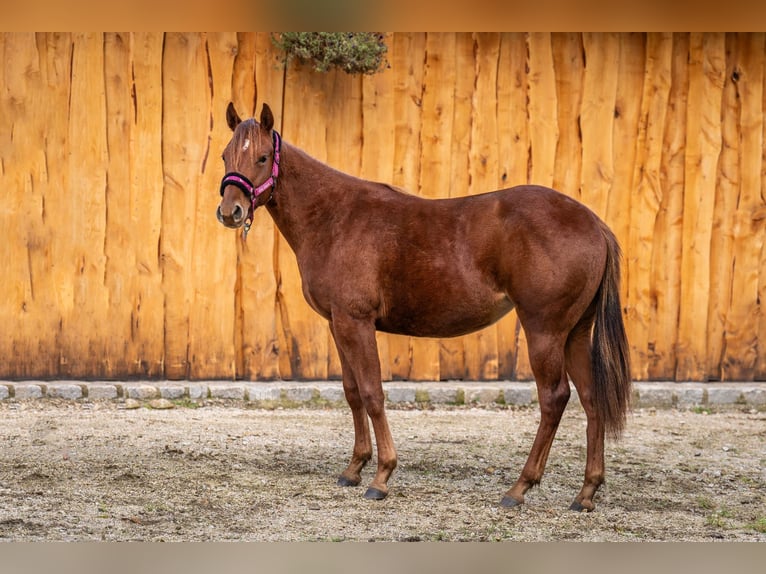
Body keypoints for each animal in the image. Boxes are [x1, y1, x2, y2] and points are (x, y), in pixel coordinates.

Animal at [216, 102, 631, 511]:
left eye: (262, 156)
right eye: (225, 155)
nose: (230, 211)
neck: (335, 217)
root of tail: (593, 223)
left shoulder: (356, 322)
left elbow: (372, 393)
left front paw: (382, 476)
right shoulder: (338, 324)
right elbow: (352, 392)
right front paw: (354, 469)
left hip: (544, 331)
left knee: (554, 399)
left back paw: (519, 488)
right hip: (574, 333)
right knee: (591, 399)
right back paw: (586, 492)